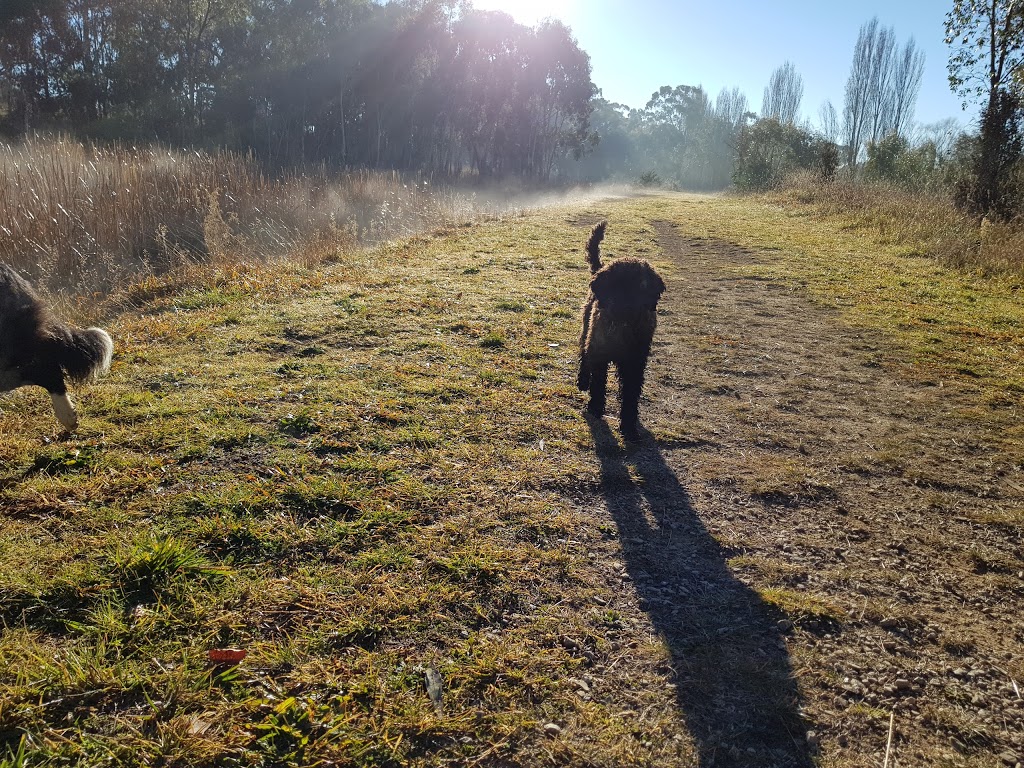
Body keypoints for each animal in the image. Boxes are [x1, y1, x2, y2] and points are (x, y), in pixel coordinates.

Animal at [577, 221, 663, 438]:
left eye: (642, 286)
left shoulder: (635, 363)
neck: (623, 327)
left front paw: (629, 427)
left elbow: (631, 394)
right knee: (584, 354)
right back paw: (583, 380)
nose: (626, 307)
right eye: (615, 285)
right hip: (587, 331)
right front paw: (595, 408)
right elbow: (598, 384)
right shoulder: (600, 353)